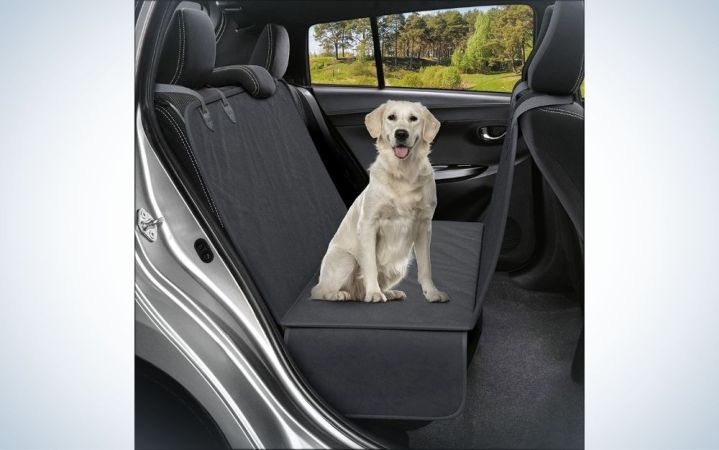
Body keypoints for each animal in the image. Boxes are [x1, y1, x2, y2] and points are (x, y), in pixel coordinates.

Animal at [310, 100, 450, 304]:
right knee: (321, 292)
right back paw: (341, 294)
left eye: (413, 118)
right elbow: (370, 265)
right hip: (346, 260)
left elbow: (426, 267)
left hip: (399, 266)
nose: (401, 133)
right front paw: (374, 293)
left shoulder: (424, 226)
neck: (403, 173)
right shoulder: (369, 224)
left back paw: (390, 293)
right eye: (391, 117)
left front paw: (432, 293)